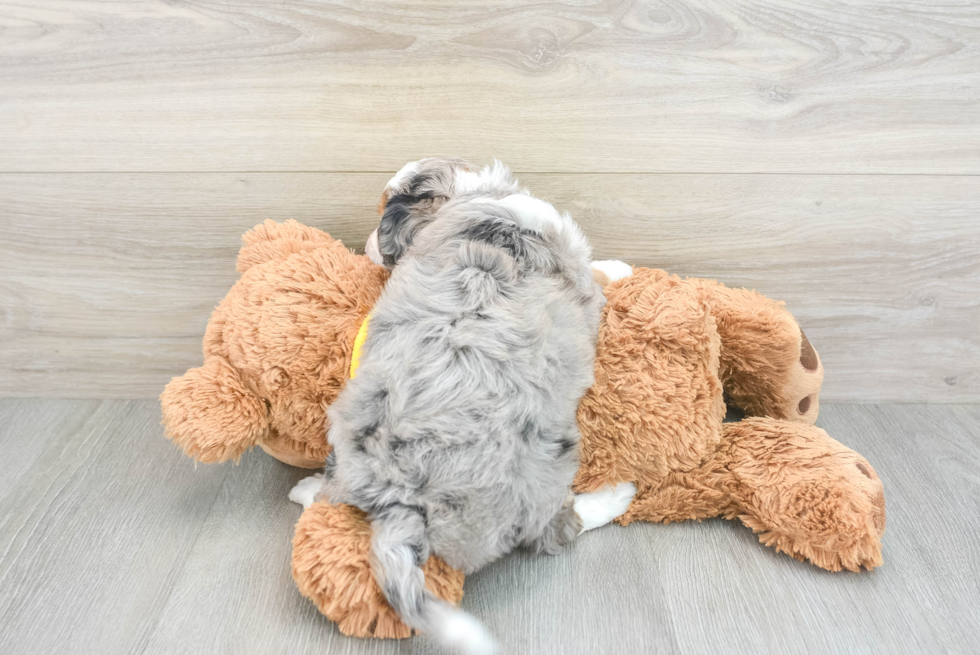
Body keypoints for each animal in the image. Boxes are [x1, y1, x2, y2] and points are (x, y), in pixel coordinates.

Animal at [298, 160, 604, 655]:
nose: (367, 244)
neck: (472, 197)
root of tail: (405, 498)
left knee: (331, 492)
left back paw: (305, 489)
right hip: (546, 481)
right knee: (562, 528)